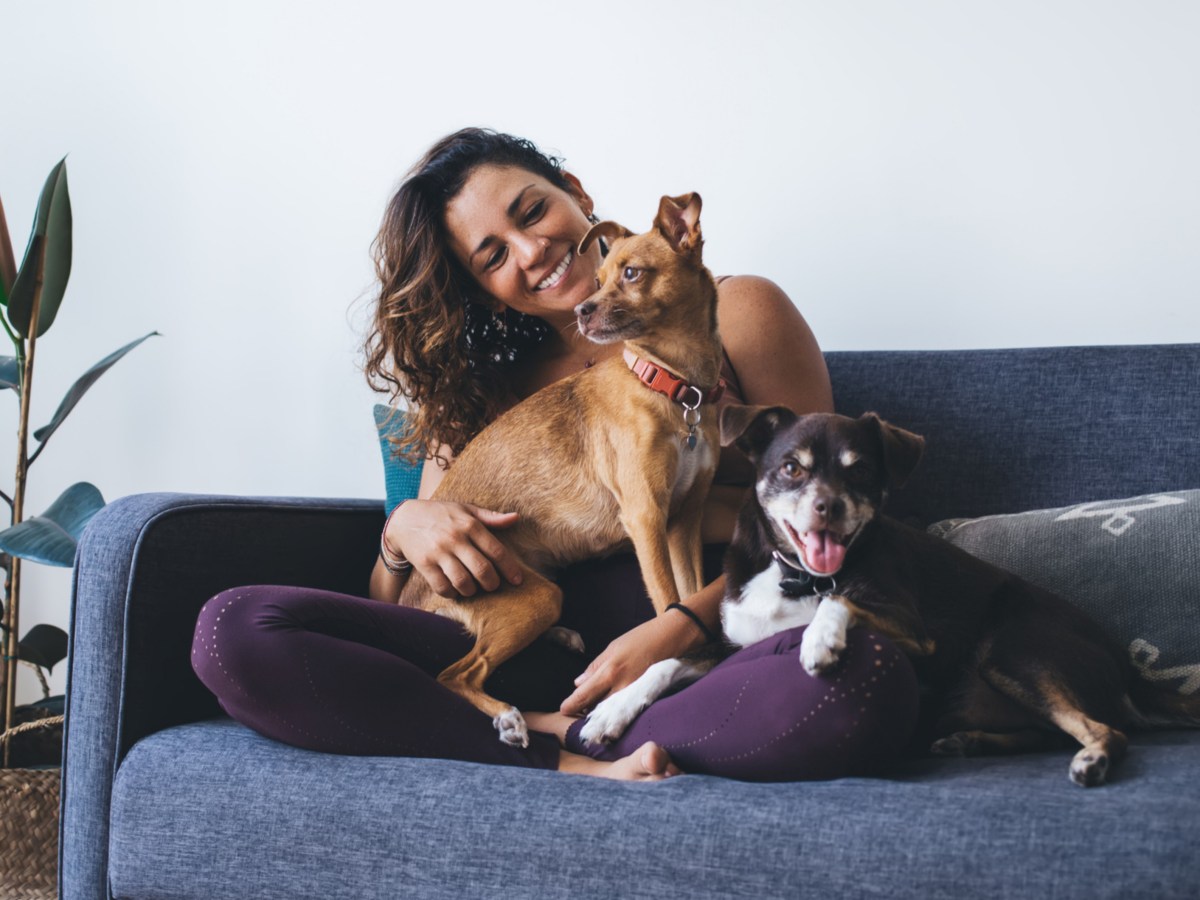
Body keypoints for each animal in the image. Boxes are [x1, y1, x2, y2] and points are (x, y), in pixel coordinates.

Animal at [398, 195, 724, 748]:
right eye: (599, 279)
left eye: (632, 273)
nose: (580, 310)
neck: (671, 383)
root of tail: (413, 595)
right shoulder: (647, 518)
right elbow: (666, 604)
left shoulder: (684, 520)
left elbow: (691, 595)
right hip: (532, 596)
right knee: (454, 673)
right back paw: (508, 717)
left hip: (538, 589)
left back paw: (562, 638)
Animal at [578, 405, 1190, 787]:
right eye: (791, 468)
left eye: (861, 471)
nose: (827, 506)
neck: (798, 575)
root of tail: (1126, 669)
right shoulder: (735, 646)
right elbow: (664, 663)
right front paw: (609, 711)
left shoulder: (916, 631)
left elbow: (841, 601)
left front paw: (818, 640)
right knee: (1046, 730)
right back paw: (967, 741)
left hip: (1013, 650)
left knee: (1104, 729)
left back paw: (1092, 760)